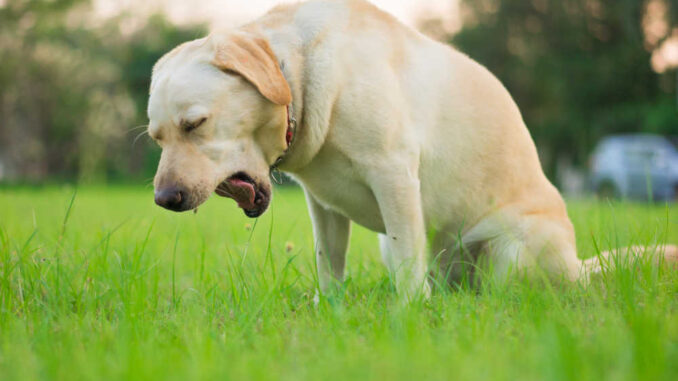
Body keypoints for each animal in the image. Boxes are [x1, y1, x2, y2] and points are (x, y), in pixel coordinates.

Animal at [146, 0, 676, 296]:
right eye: (157, 136)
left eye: (195, 124)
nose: (164, 200)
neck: (297, 71)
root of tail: (578, 270)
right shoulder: (323, 205)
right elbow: (329, 264)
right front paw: (331, 310)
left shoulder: (394, 175)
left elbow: (406, 266)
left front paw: (406, 316)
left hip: (512, 250)